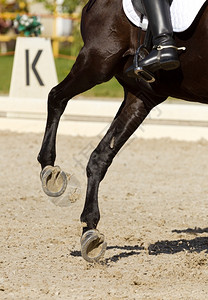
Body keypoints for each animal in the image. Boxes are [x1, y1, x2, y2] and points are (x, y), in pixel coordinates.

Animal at [37, 0, 208, 262]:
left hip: (142, 95)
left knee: (99, 156)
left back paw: (90, 230)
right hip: (99, 61)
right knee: (56, 97)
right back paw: (49, 169)